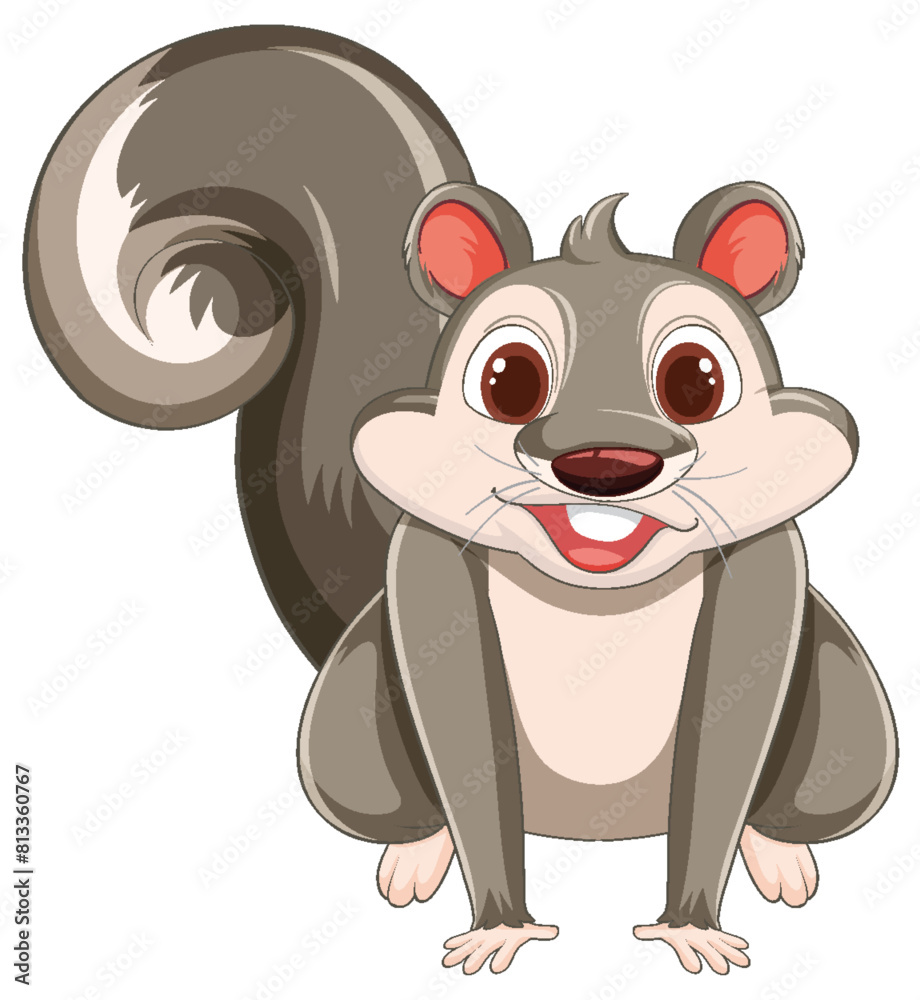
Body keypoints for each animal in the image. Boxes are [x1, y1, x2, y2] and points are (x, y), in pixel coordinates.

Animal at [25, 24, 898, 977]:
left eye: (696, 379)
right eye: (508, 377)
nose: (604, 463)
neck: (596, 600)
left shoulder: (767, 571)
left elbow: (727, 738)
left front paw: (691, 923)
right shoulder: (427, 574)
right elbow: (462, 733)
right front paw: (499, 924)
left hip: (854, 718)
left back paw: (780, 851)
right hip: (343, 722)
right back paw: (415, 851)